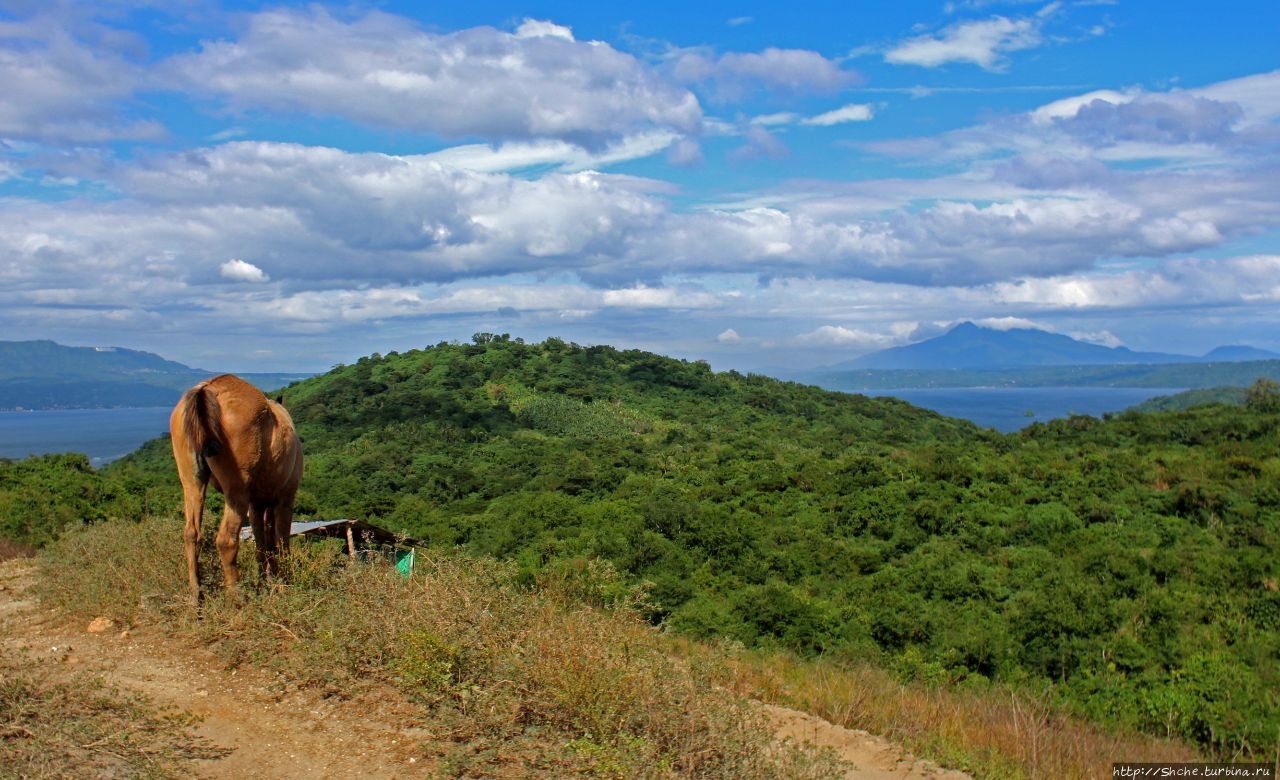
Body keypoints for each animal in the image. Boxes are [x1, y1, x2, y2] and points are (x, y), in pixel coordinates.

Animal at [168, 371, 303, 601]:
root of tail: (207, 389)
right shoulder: (285, 498)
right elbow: (281, 542)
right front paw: (284, 583)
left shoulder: (257, 505)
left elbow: (263, 545)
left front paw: (267, 583)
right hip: (236, 491)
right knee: (226, 539)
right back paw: (236, 598)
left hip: (191, 483)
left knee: (191, 534)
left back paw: (196, 597)